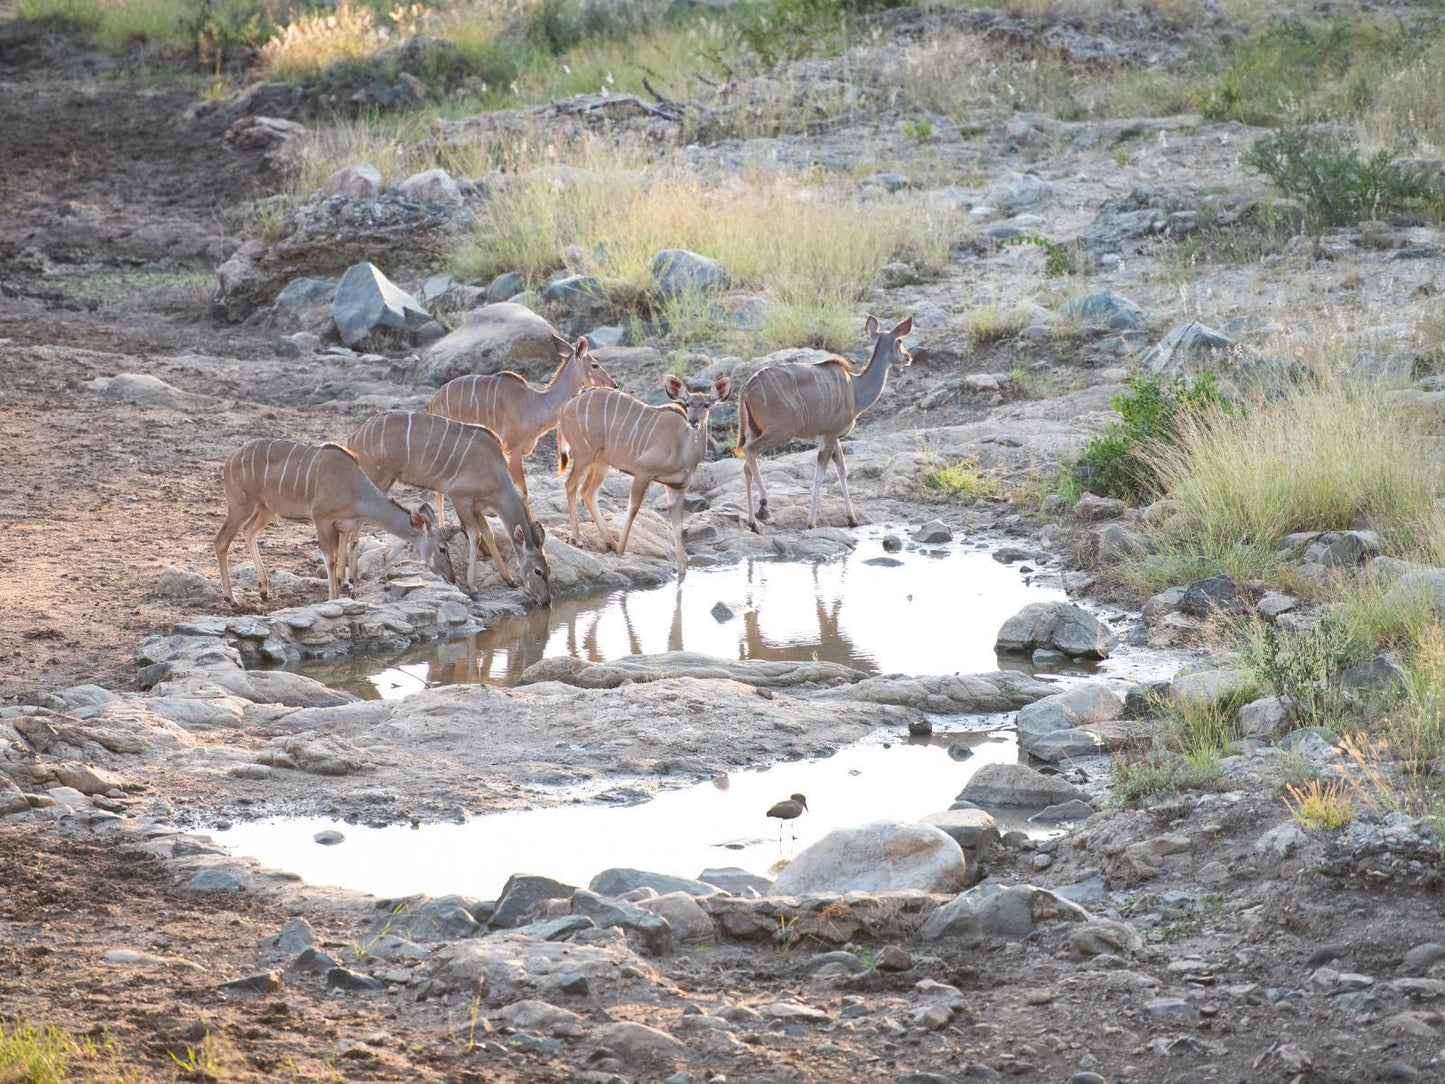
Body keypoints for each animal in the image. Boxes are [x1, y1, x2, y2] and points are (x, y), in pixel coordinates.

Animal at [212, 442, 450, 612]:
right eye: (442, 548)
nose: (452, 578)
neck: (354, 488)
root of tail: (230, 459)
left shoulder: (339, 526)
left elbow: (336, 557)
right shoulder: (322, 520)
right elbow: (331, 559)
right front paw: (333, 599)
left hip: (266, 509)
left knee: (249, 531)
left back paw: (263, 590)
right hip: (240, 505)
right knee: (221, 540)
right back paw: (231, 599)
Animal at [346, 413, 549, 607]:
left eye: (549, 570)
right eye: (538, 571)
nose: (547, 601)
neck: (496, 472)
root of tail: (354, 438)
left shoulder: (476, 506)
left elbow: (488, 533)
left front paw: (510, 580)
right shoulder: (460, 498)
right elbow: (475, 536)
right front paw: (473, 589)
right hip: (374, 478)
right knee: (351, 528)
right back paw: (349, 580)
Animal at [421, 330, 615, 514]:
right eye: (595, 364)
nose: (614, 384)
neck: (534, 404)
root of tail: (433, 402)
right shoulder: (512, 449)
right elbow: (522, 490)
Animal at [554, 375, 728, 581]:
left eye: (707, 405)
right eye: (687, 404)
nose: (694, 421)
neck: (682, 449)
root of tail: (565, 407)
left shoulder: (676, 487)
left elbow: (677, 527)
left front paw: (682, 572)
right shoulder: (643, 472)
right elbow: (633, 508)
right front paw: (621, 551)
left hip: (601, 462)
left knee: (587, 491)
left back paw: (609, 542)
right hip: (584, 454)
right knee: (571, 484)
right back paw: (578, 539)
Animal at [739, 313, 907, 531]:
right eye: (900, 341)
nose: (908, 357)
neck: (855, 389)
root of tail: (746, 389)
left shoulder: (830, 435)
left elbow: (841, 469)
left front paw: (852, 519)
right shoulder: (831, 433)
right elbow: (821, 471)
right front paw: (811, 522)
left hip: (755, 430)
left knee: (746, 466)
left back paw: (753, 523)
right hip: (780, 431)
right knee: (750, 451)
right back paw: (764, 507)